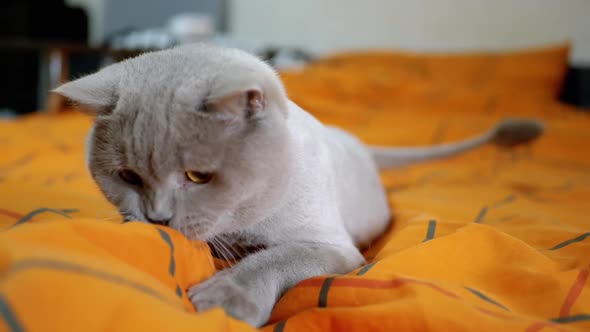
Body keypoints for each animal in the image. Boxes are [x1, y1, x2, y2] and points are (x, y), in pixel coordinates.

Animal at [55, 42, 544, 326]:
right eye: (128, 177)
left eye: (197, 177)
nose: (156, 217)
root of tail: (360, 143)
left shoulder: (332, 247)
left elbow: (274, 257)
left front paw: (224, 298)